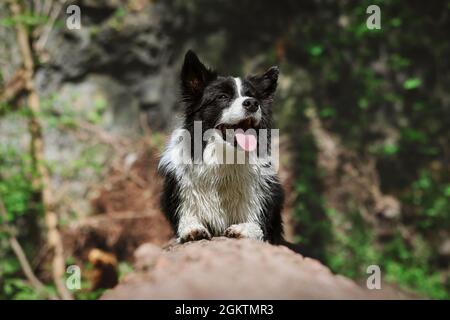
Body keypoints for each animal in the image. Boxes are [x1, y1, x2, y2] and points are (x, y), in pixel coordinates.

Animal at [158, 50, 284, 244]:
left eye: (253, 96)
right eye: (223, 97)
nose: (252, 103)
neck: (225, 159)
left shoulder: (263, 203)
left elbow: (258, 227)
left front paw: (244, 228)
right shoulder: (182, 195)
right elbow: (187, 219)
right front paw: (192, 229)